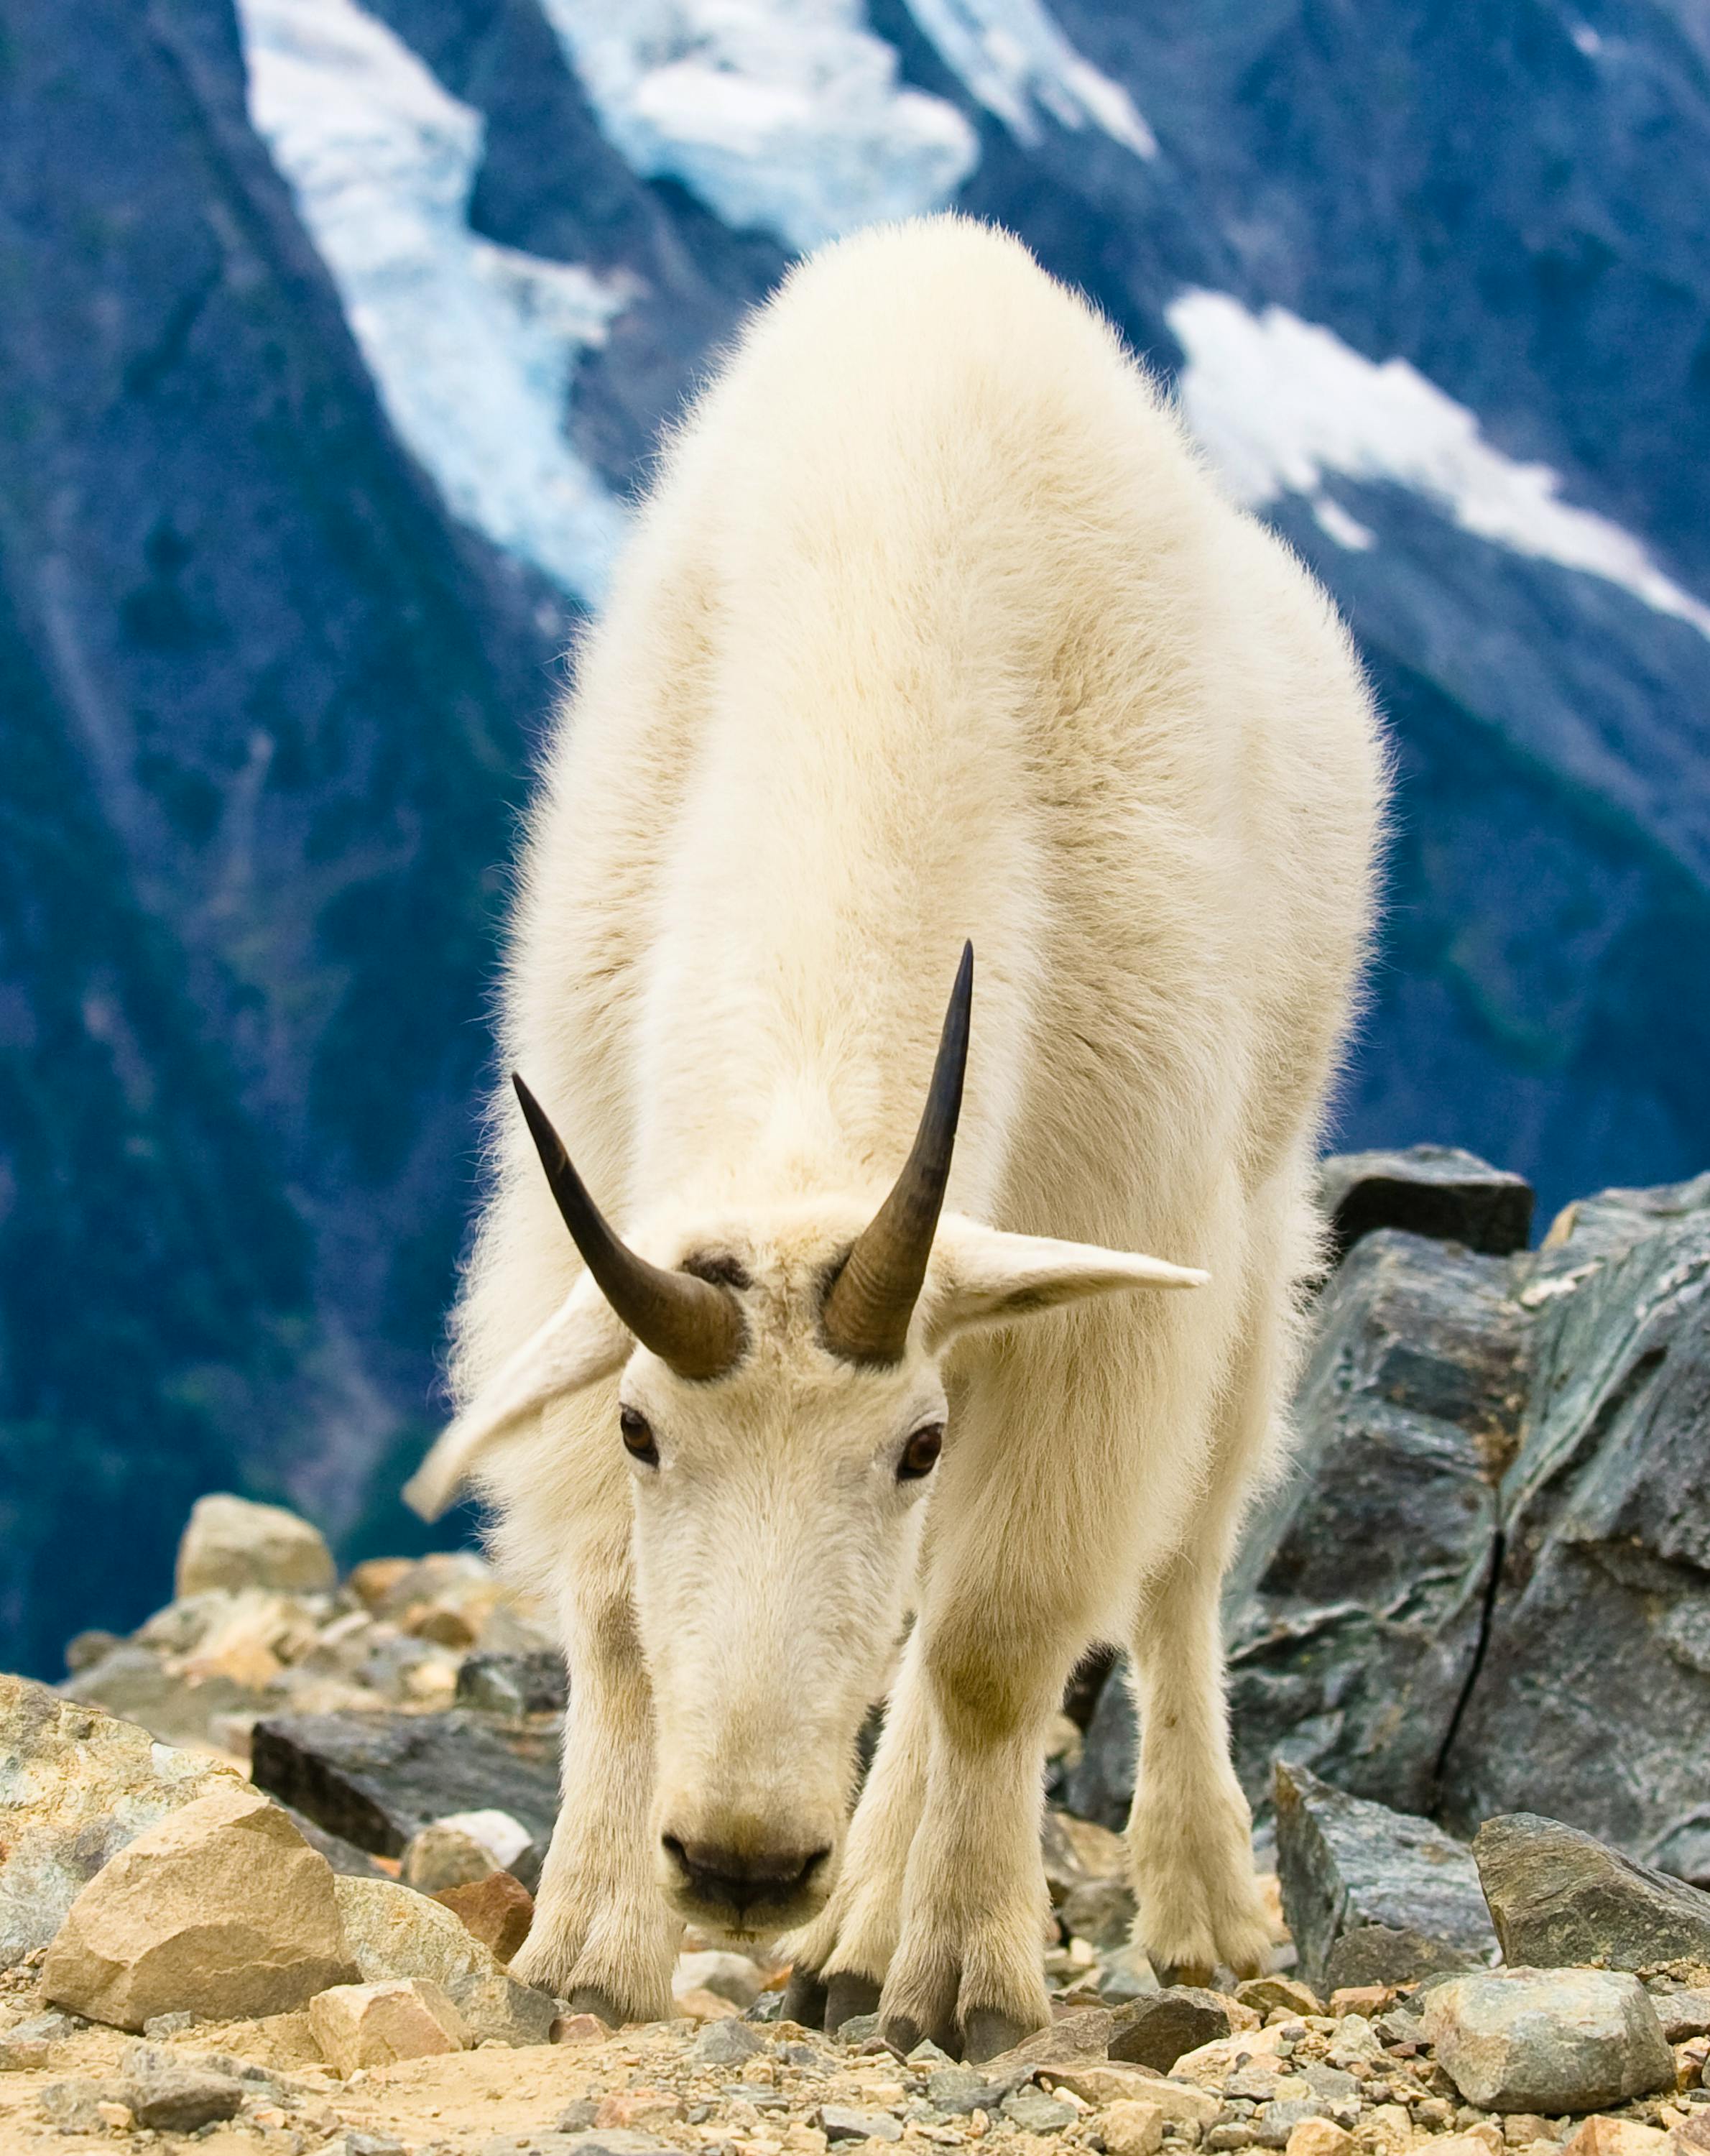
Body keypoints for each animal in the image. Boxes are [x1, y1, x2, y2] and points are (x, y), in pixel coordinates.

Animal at [408, 215, 1385, 2058]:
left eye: (912, 1445)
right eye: (642, 1434)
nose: (738, 1861)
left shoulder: (1102, 1274)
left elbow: (996, 1641)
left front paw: (968, 1976)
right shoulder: (587, 1219)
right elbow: (621, 1614)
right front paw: (585, 1953)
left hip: (1250, 1232)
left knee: (1170, 1577)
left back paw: (1159, 1907)